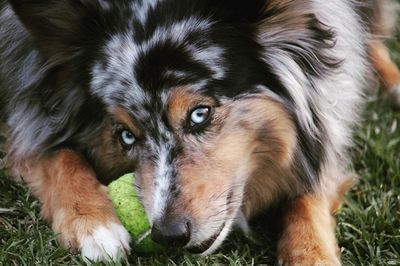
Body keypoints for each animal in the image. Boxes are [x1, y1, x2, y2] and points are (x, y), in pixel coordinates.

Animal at [0, 0, 400, 264]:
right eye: (126, 136)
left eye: (199, 114)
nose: (169, 235)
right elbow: (55, 153)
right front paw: (93, 224)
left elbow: (310, 185)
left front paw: (311, 253)